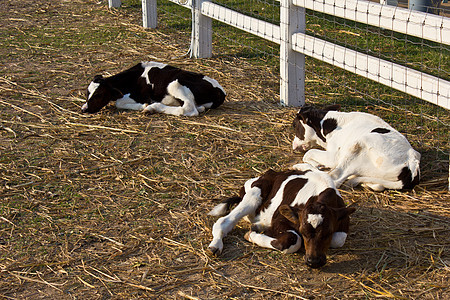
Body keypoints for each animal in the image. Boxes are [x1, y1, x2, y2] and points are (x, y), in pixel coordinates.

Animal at [81, 61, 225, 116]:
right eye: (87, 93)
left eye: (99, 94)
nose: (84, 109)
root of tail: (220, 91)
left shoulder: (141, 95)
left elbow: (118, 102)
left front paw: (144, 105)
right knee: (197, 108)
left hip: (174, 84)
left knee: (188, 109)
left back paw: (152, 107)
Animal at [207, 164, 356, 270]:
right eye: (303, 231)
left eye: (328, 232)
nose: (313, 262)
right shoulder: (280, 218)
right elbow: (292, 239)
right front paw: (251, 235)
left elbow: (338, 239)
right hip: (255, 194)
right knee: (224, 220)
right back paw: (215, 245)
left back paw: (258, 225)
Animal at [292, 104, 422, 191]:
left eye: (295, 125)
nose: (294, 146)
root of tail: (412, 165)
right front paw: (319, 165)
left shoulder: (334, 156)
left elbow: (308, 153)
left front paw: (317, 165)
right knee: (376, 184)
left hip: (358, 147)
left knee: (334, 177)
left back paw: (301, 168)